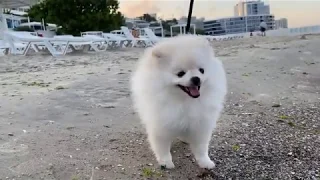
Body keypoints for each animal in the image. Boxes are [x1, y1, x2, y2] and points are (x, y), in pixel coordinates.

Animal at [131, 34, 228, 169]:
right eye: (180, 73)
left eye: (202, 70)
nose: (196, 79)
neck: (185, 101)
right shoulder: (161, 126)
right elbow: (162, 147)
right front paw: (166, 162)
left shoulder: (201, 125)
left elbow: (201, 148)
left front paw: (205, 162)